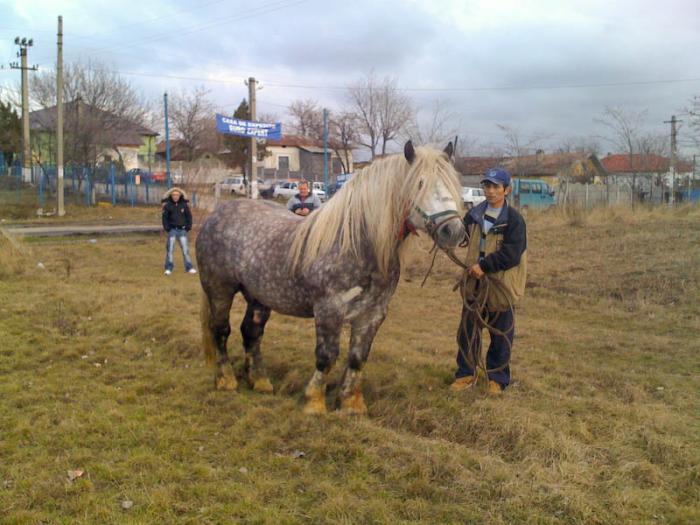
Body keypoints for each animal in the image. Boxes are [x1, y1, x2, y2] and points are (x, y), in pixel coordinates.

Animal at [196, 142, 464, 414]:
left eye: (452, 182)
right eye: (419, 183)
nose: (453, 231)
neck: (358, 244)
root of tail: (216, 214)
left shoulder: (373, 314)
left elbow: (357, 358)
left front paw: (351, 404)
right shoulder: (329, 310)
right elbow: (327, 356)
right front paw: (314, 401)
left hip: (259, 297)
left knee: (251, 332)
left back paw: (260, 382)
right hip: (219, 290)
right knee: (221, 331)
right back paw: (226, 380)